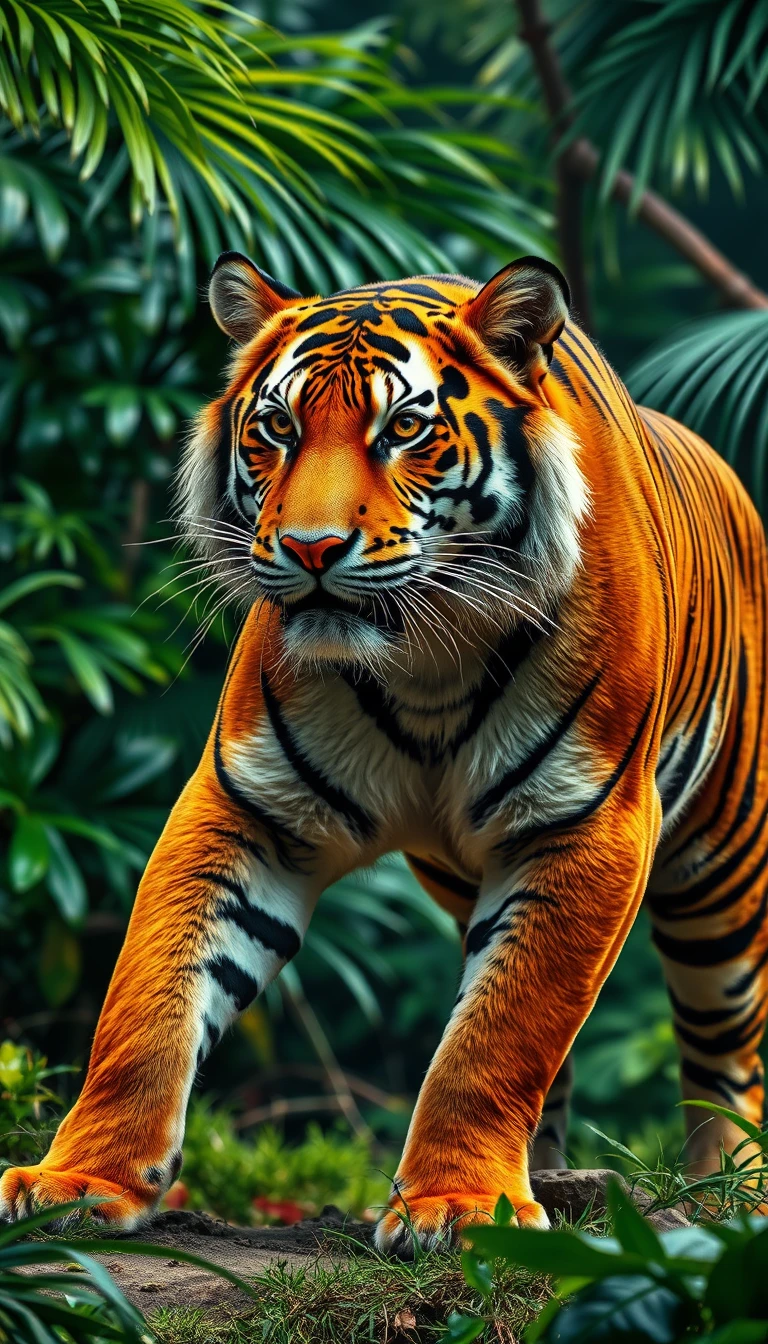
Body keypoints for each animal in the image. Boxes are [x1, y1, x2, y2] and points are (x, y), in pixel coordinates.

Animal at [2, 253, 767, 1254]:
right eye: (277, 428)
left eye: (405, 428)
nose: (310, 548)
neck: (425, 660)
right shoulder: (244, 809)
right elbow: (147, 1004)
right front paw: (79, 1184)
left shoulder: (588, 825)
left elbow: (499, 1036)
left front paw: (459, 1205)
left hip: (721, 873)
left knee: (725, 1048)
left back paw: (728, 1196)